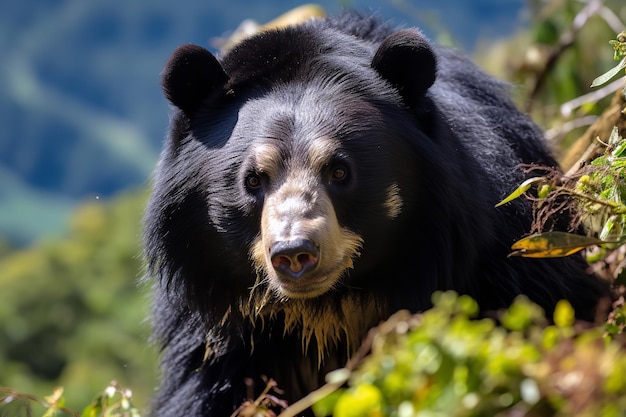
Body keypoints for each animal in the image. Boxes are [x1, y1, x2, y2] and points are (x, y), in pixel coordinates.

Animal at [145, 11, 604, 416]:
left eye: (339, 171)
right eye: (254, 180)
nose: (295, 253)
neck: (327, 308)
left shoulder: (497, 254)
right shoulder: (217, 333)